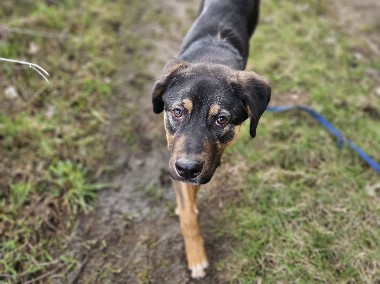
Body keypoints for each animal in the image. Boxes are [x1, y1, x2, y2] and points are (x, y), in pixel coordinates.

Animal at [151, 0, 270, 280]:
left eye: (221, 120)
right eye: (177, 112)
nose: (187, 169)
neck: (211, 57)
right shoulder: (177, 159)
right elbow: (187, 214)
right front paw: (195, 255)